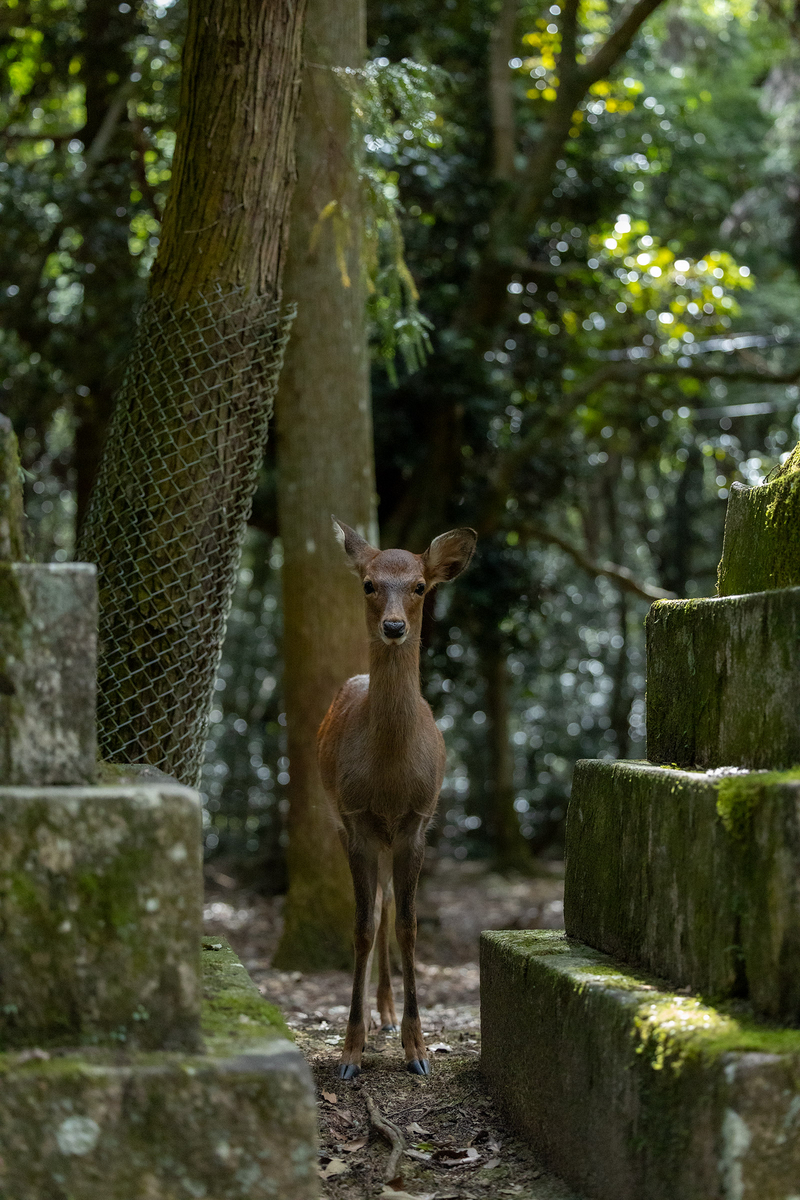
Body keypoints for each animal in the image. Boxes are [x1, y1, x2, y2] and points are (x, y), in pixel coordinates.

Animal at [316, 516, 479, 1080]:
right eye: (368, 583)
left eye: (419, 586)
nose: (393, 627)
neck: (388, 778)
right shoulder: (357, 820)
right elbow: (362, 928)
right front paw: (349, 1051)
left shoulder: (416, 822)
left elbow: (407, 927)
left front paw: (418, 1049)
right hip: (340, 820)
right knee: (376, 908)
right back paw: (375, 1017)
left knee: (389, 905)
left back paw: (387, 1015)